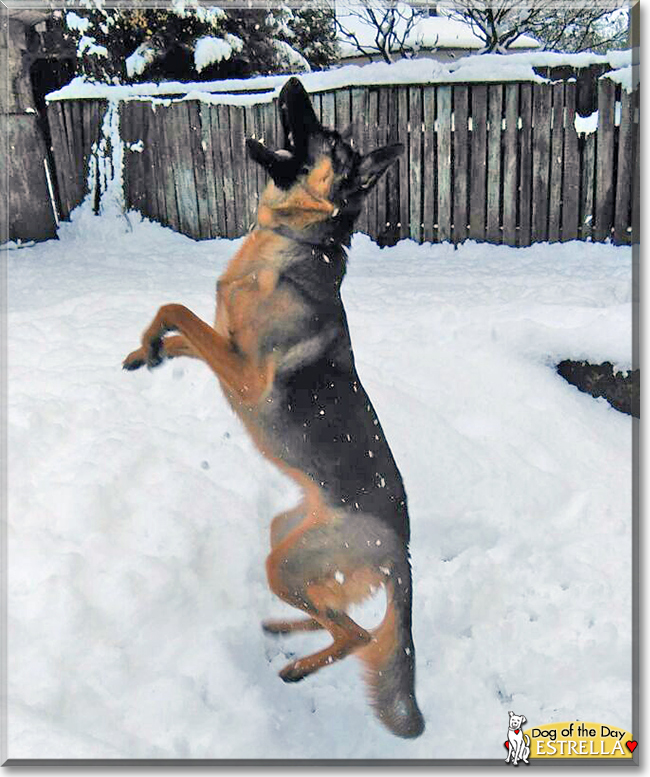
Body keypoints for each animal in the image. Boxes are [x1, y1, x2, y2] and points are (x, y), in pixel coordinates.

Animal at [123, 79, 422, 740]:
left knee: (357, 634)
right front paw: (145, 352)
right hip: (286, 535)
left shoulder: (243, 373)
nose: (290, 84)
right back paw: (285, 629)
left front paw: (150, 343)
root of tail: (403, 551)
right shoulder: (224, 349)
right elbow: (180, 327)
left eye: (328, 138)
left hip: (289, 561)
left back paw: (297, 667)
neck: (294, 240)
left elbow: (178, 308)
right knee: (343, 618)